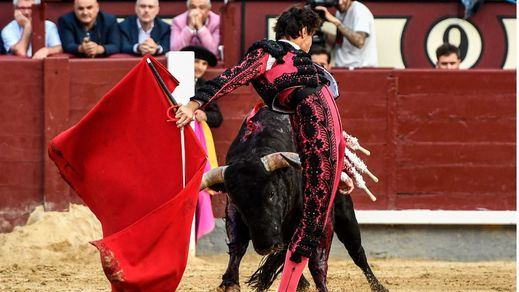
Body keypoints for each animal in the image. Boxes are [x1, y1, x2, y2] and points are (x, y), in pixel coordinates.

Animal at [205, 108, 388, 292]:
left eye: (271, 193)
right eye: (239, 203)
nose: (267, 246)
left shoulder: (320, 220)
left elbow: (317, 261)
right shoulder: (233, 210)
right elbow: (238, 246)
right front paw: (229, 283)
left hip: (345, 214)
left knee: (356, 250)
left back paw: (378, 286)